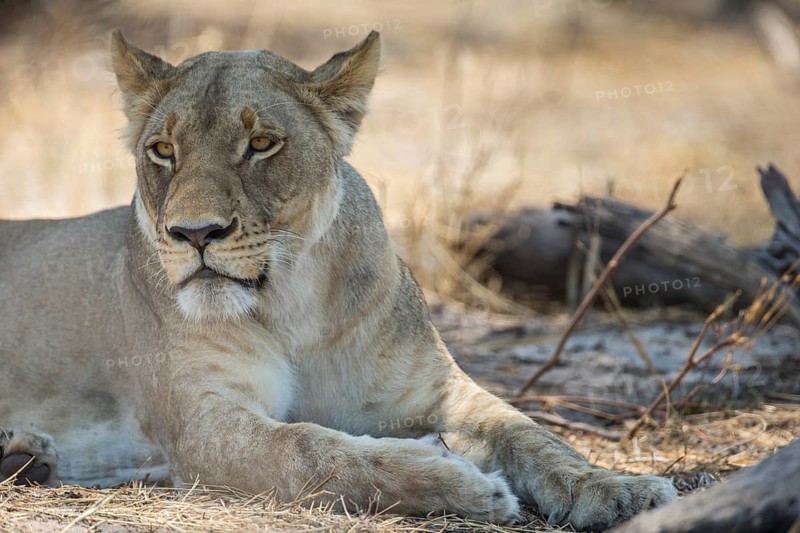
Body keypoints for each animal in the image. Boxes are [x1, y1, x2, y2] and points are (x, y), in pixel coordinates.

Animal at [0, 31, 676, 531]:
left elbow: (529, 433)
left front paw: (620, 489)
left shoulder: (434, 389)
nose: (194, 234)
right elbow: (310, 448)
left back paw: (26, 456)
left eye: (262, 144)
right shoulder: (203, 424)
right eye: (163, 150)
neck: (293, 304)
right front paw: (462, 483)